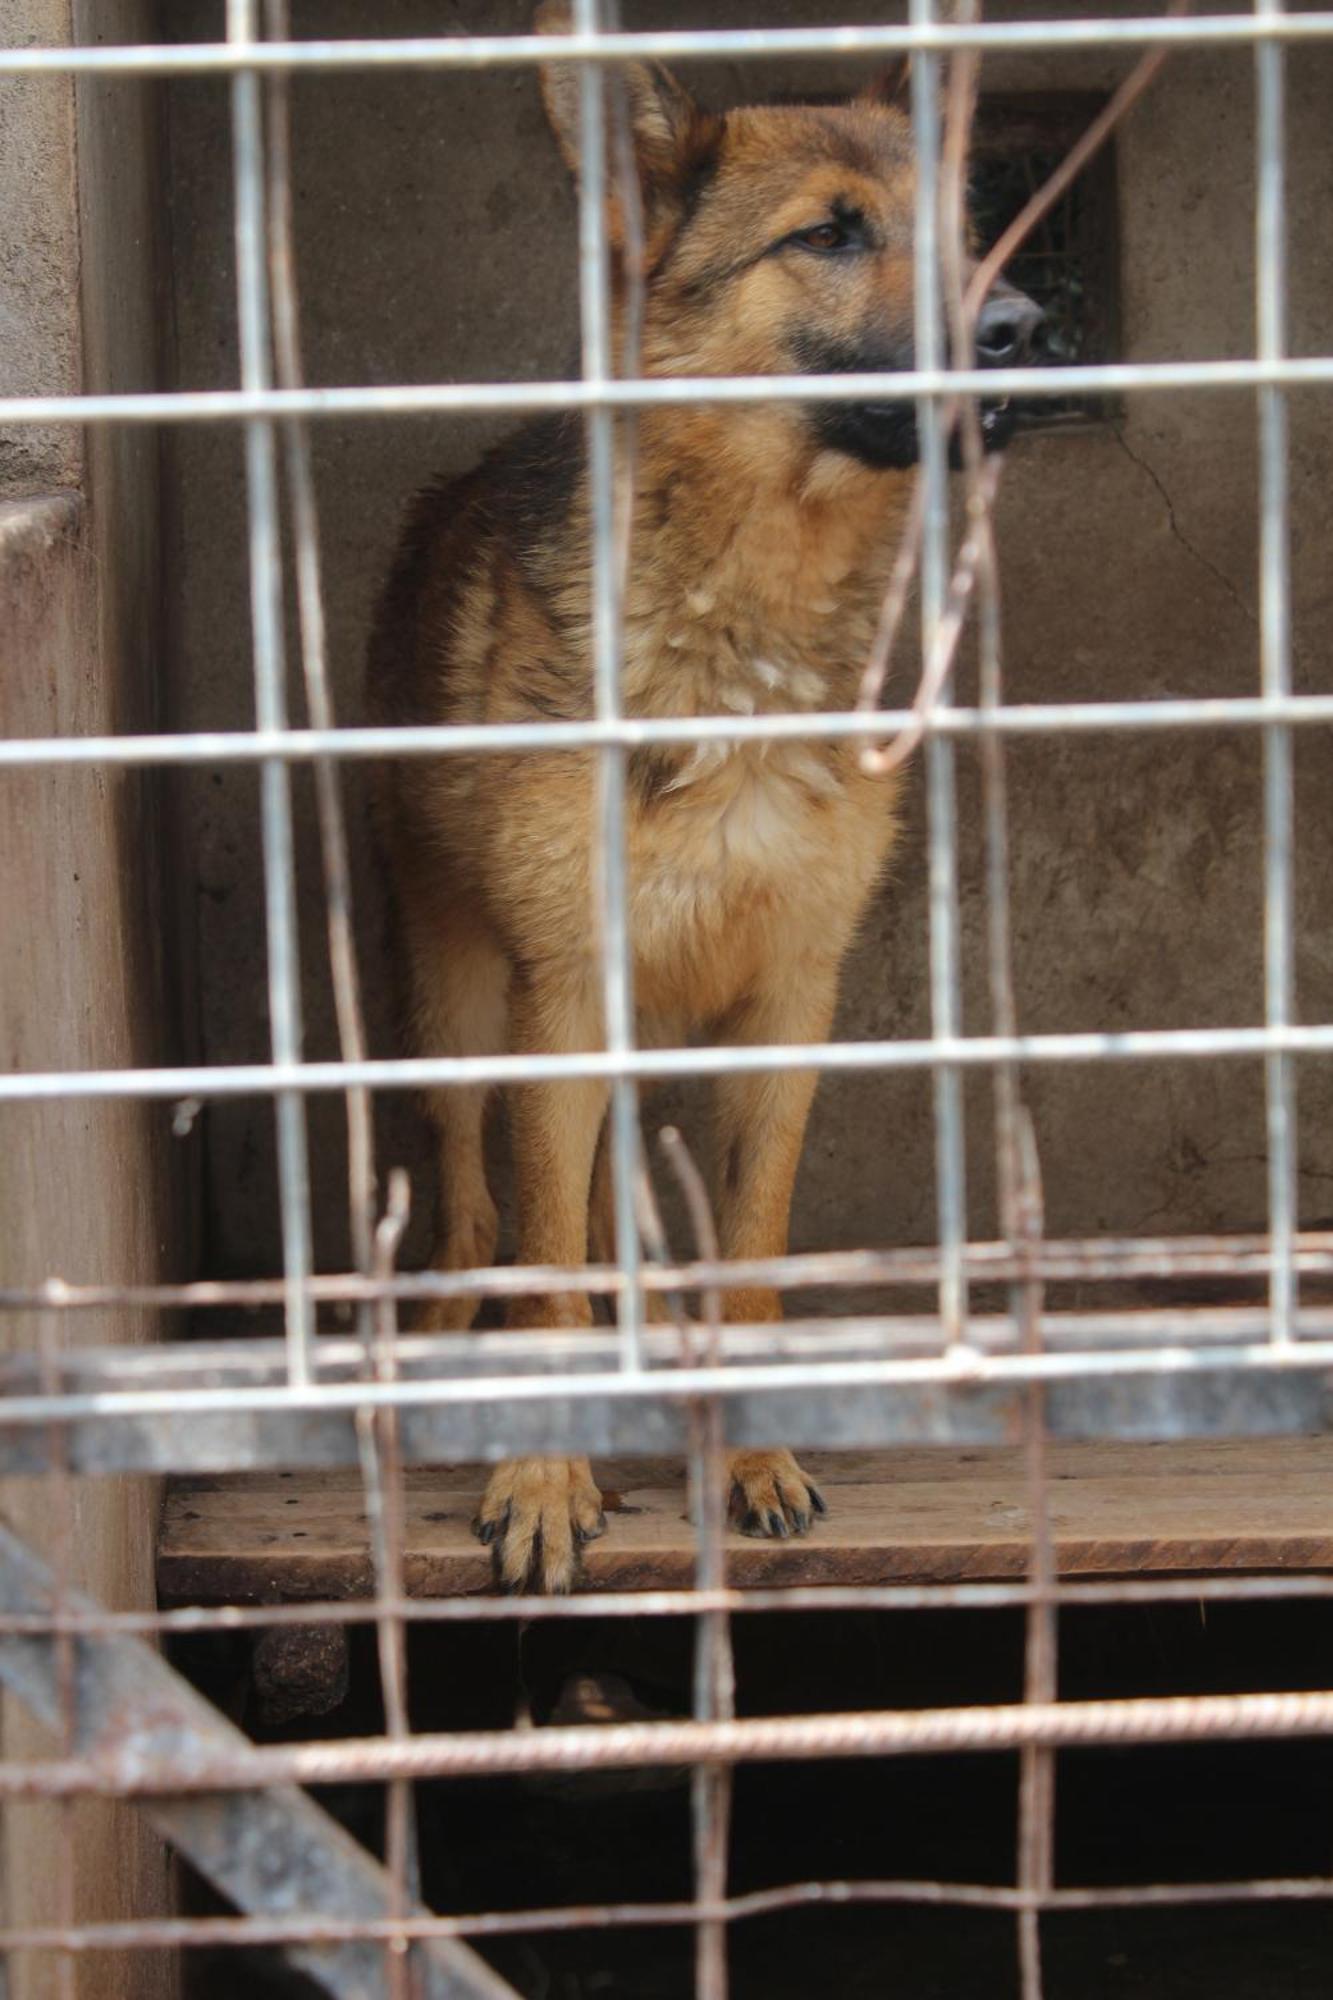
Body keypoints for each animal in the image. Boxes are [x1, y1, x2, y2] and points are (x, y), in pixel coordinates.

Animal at [366, 7, 1040, 1584]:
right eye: (830, 233)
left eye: (965, 230)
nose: (1028, 327)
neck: (753, 618)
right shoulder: (562, 997)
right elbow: (547, 1257)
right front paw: (544, 1478)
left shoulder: (789, 1001)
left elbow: (752, 1250)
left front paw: (750, 1460)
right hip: (463, 1002)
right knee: (482, 1211)